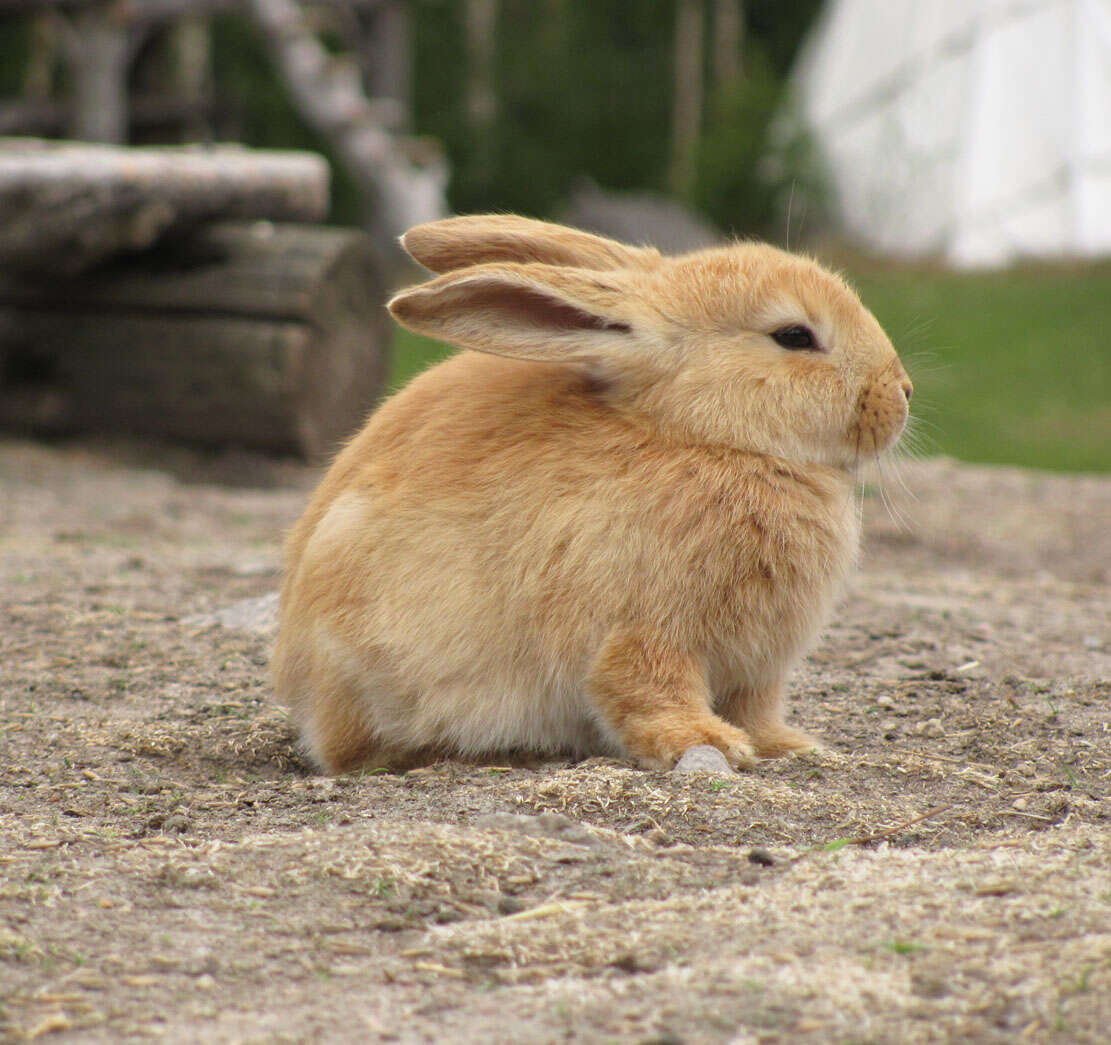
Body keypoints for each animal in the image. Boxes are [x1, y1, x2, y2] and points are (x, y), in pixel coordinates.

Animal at [271, 214, 911, 772]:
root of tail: (296, 679)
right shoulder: (645, 630)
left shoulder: (757, 670)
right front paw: (708, 744)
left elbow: (755, 710)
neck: (703, 436)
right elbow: (643, 689)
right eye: (794, 336)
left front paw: (788, 745)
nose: (902, 392)